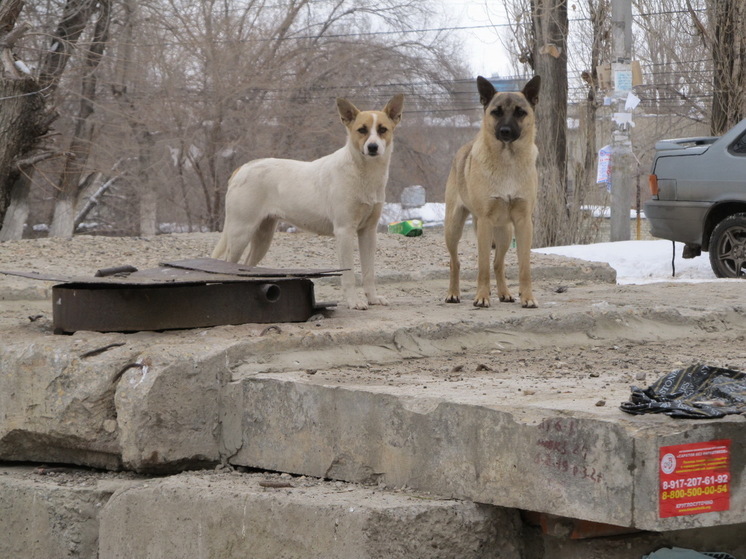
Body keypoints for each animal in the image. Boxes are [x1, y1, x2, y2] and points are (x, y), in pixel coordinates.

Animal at [212, 93, 404, 308]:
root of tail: (243, 168)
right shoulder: (344, 231)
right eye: (361, 130)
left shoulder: (368, 232)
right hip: (240, 232)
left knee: (246, 267)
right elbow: (349, 275)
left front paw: (372, 299)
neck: (363, 172)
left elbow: (369, 272)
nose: (372, 147)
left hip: (263, 236)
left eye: (382, 130)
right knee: (228, 265)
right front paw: (354, 302)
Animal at [442, 74, 540, 308]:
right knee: (455, 262)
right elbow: (483, 267)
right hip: (453, 228)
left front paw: (527, 297)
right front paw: (482, 297)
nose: (505, 131)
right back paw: (453, 293)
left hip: (505, 233)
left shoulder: (523, 223)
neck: (508, 160)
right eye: (496, 112)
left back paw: (505, 293)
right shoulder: (485, 222)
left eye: (520, 112)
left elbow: (524, 267)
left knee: (498, 263)